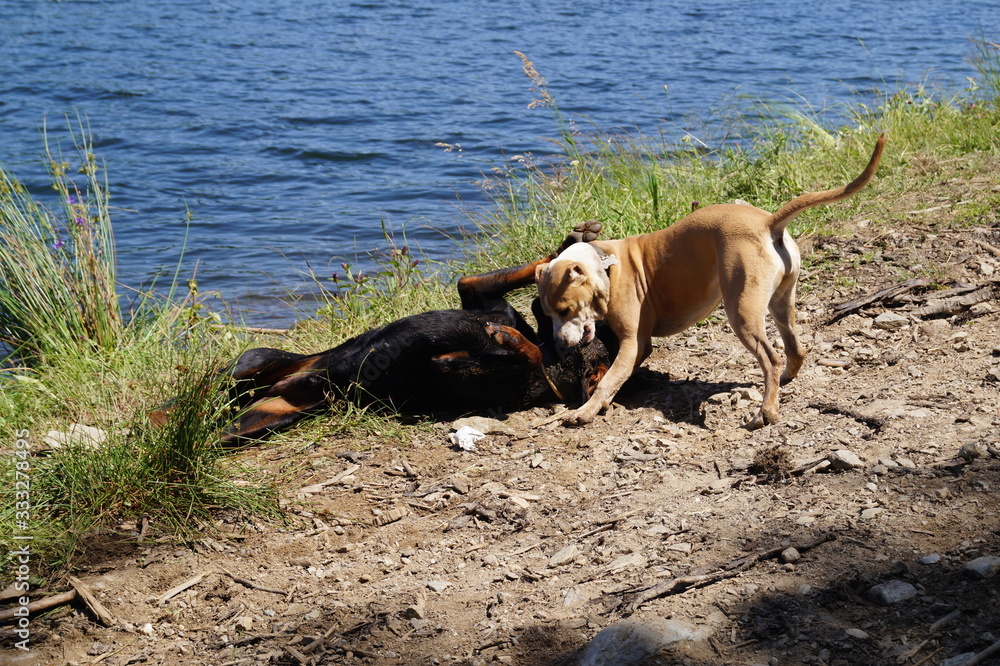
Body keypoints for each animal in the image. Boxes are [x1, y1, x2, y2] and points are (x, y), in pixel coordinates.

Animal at [153, 224, 616, 446]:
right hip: (255, 361)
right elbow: (497, 279)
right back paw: (163, 415)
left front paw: (509, 342)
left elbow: (522, 357)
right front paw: (570, 244)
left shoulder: (474, 373)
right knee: (205, 389)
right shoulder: (480, 296)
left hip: (258, 419)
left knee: (214, 421)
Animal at [536, 132, 888, 428]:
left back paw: (766, 412)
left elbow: (609, 379)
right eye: (546, 314)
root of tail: (768, 222)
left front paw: (585, 411)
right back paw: (784, 382)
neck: (605, 263)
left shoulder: (634, 342)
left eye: (564, 310)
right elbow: (615, 377)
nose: (559, 344)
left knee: (771, 358)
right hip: (781, 302)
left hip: (742, 312)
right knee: (795, 349)